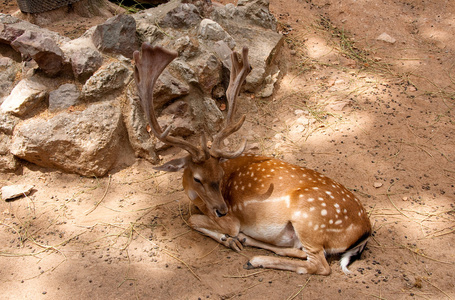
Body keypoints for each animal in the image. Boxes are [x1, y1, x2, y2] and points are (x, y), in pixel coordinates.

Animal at [134, 43, 372, 276]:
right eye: (198, 178)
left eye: (220, 175)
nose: (222, 210)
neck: (199, 201)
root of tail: (365, 230)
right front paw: (232, 239)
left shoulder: (231, 221)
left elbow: (194, 219)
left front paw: (228, 238)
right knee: (298, 252)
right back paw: (247, 242)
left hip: (310, 220)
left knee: (319, 265)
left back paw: (254, 259)